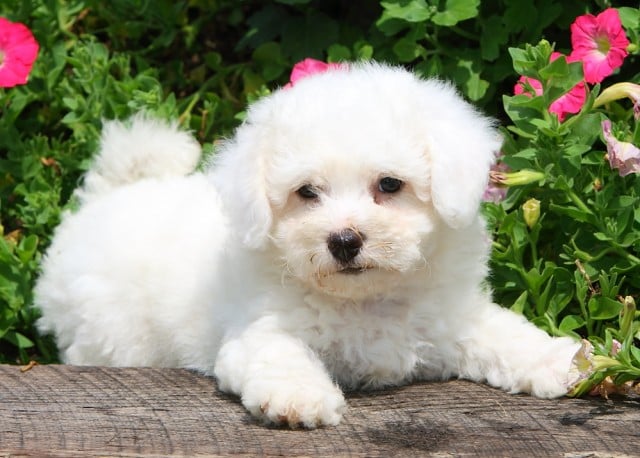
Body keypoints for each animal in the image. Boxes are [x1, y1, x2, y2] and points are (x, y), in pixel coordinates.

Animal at [36, 62, 584, 428]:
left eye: (389, 185)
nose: (343, 240)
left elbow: (504, 334)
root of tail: (107, 194)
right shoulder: (257, 329)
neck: (367, 300)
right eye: (306, 193)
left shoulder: (453, 317)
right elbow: (280, 355)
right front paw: (298, 398)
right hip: (106, 334)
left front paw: (561, 362)